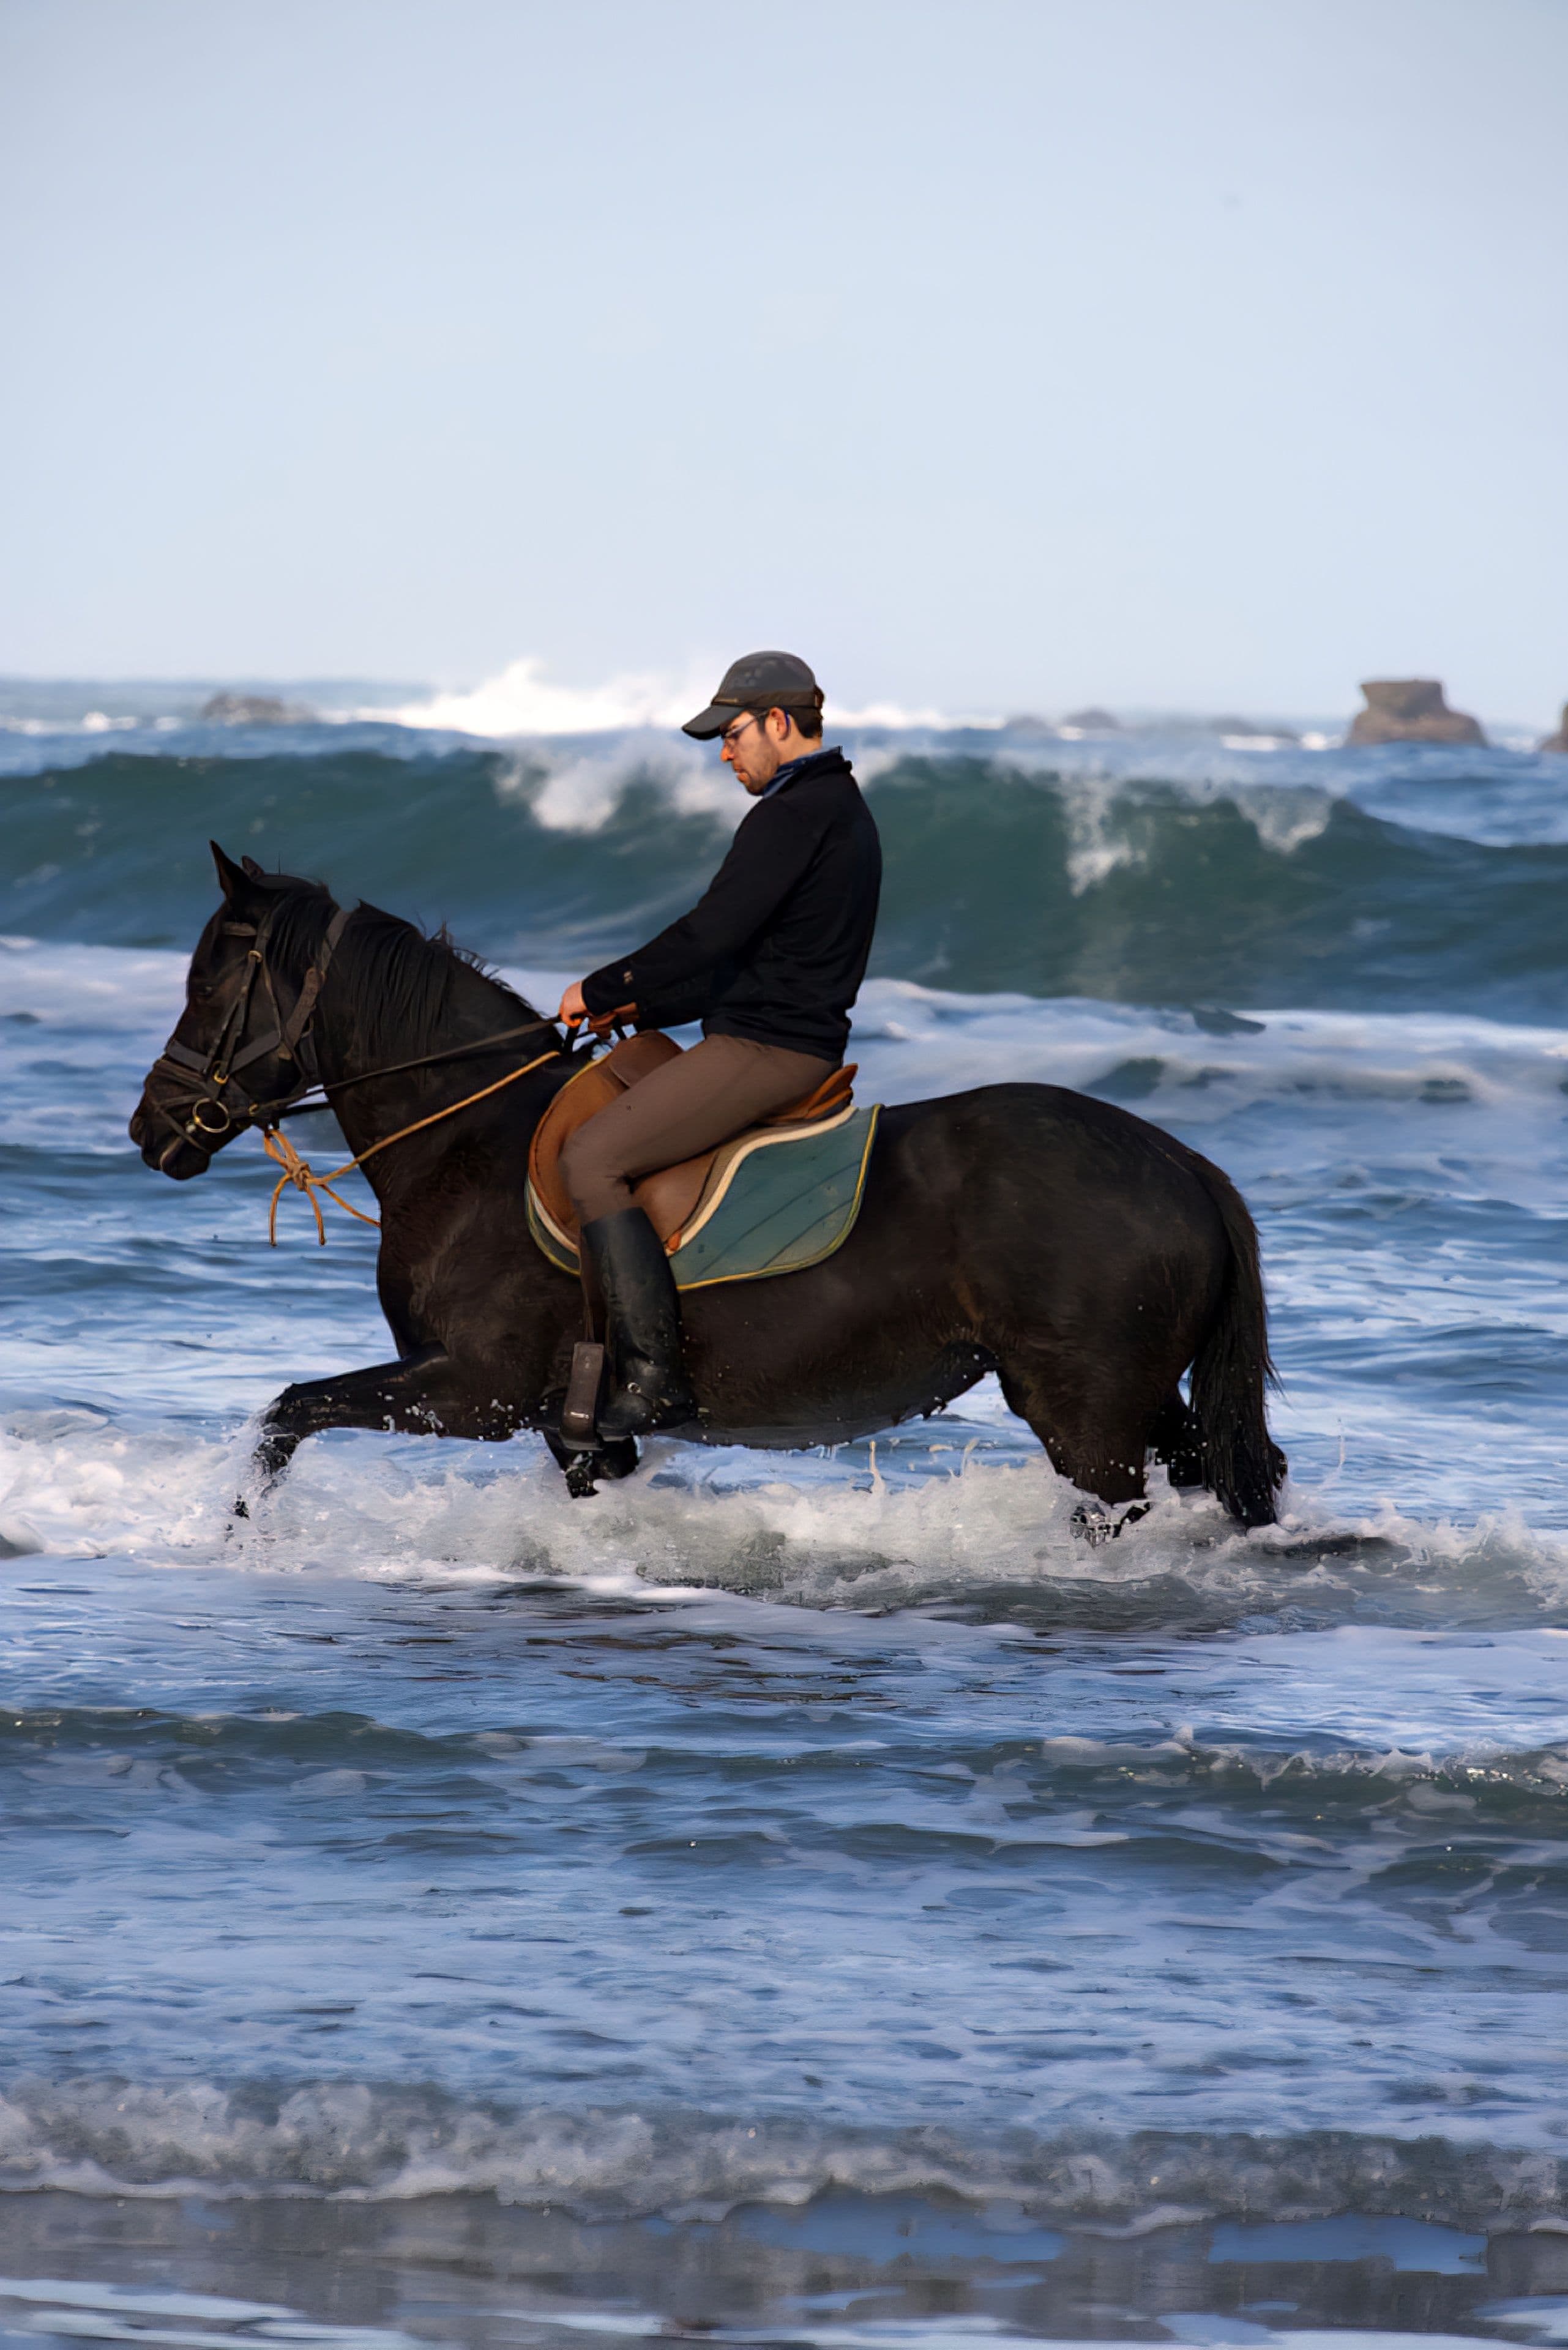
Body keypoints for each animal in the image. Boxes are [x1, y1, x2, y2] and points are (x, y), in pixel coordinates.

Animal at [129, 847, 1286, 1531]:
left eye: (210, 985)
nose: (152, 1130)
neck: (470, 1144)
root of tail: (1181, 1164)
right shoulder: (566, 1426)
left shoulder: (471, 1390)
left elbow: (286, 1412)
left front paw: (236, 1531)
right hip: (1138, 1397)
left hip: (1085, 1415)